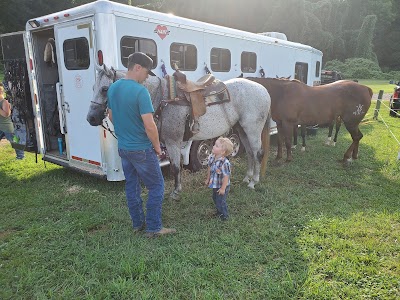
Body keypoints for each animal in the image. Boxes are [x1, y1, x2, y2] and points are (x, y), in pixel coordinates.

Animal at [87, 67, 272, 200]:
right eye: (93, 87)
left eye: (104, 89)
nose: (91, 117)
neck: (161, 98)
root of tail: (263, 90)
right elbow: (176, 166)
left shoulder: (172, 142)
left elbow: (176, 167)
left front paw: (175, 192)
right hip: (242, 129)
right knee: (250, 153)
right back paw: (247, 178)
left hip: (252, 129)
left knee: (257, 153)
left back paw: (253, 182)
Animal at [245, 77, 374, 162]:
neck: (282, 94)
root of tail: (366, 89)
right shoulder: (279, 123)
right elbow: (280, 141)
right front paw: (278, 157)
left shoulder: (288, 123)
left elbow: (288, 142)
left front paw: (288, 158)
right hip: (353, 123)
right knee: (358, 137)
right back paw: (354, 156)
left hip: (350, 122)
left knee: (356, 137)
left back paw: (346, 157)